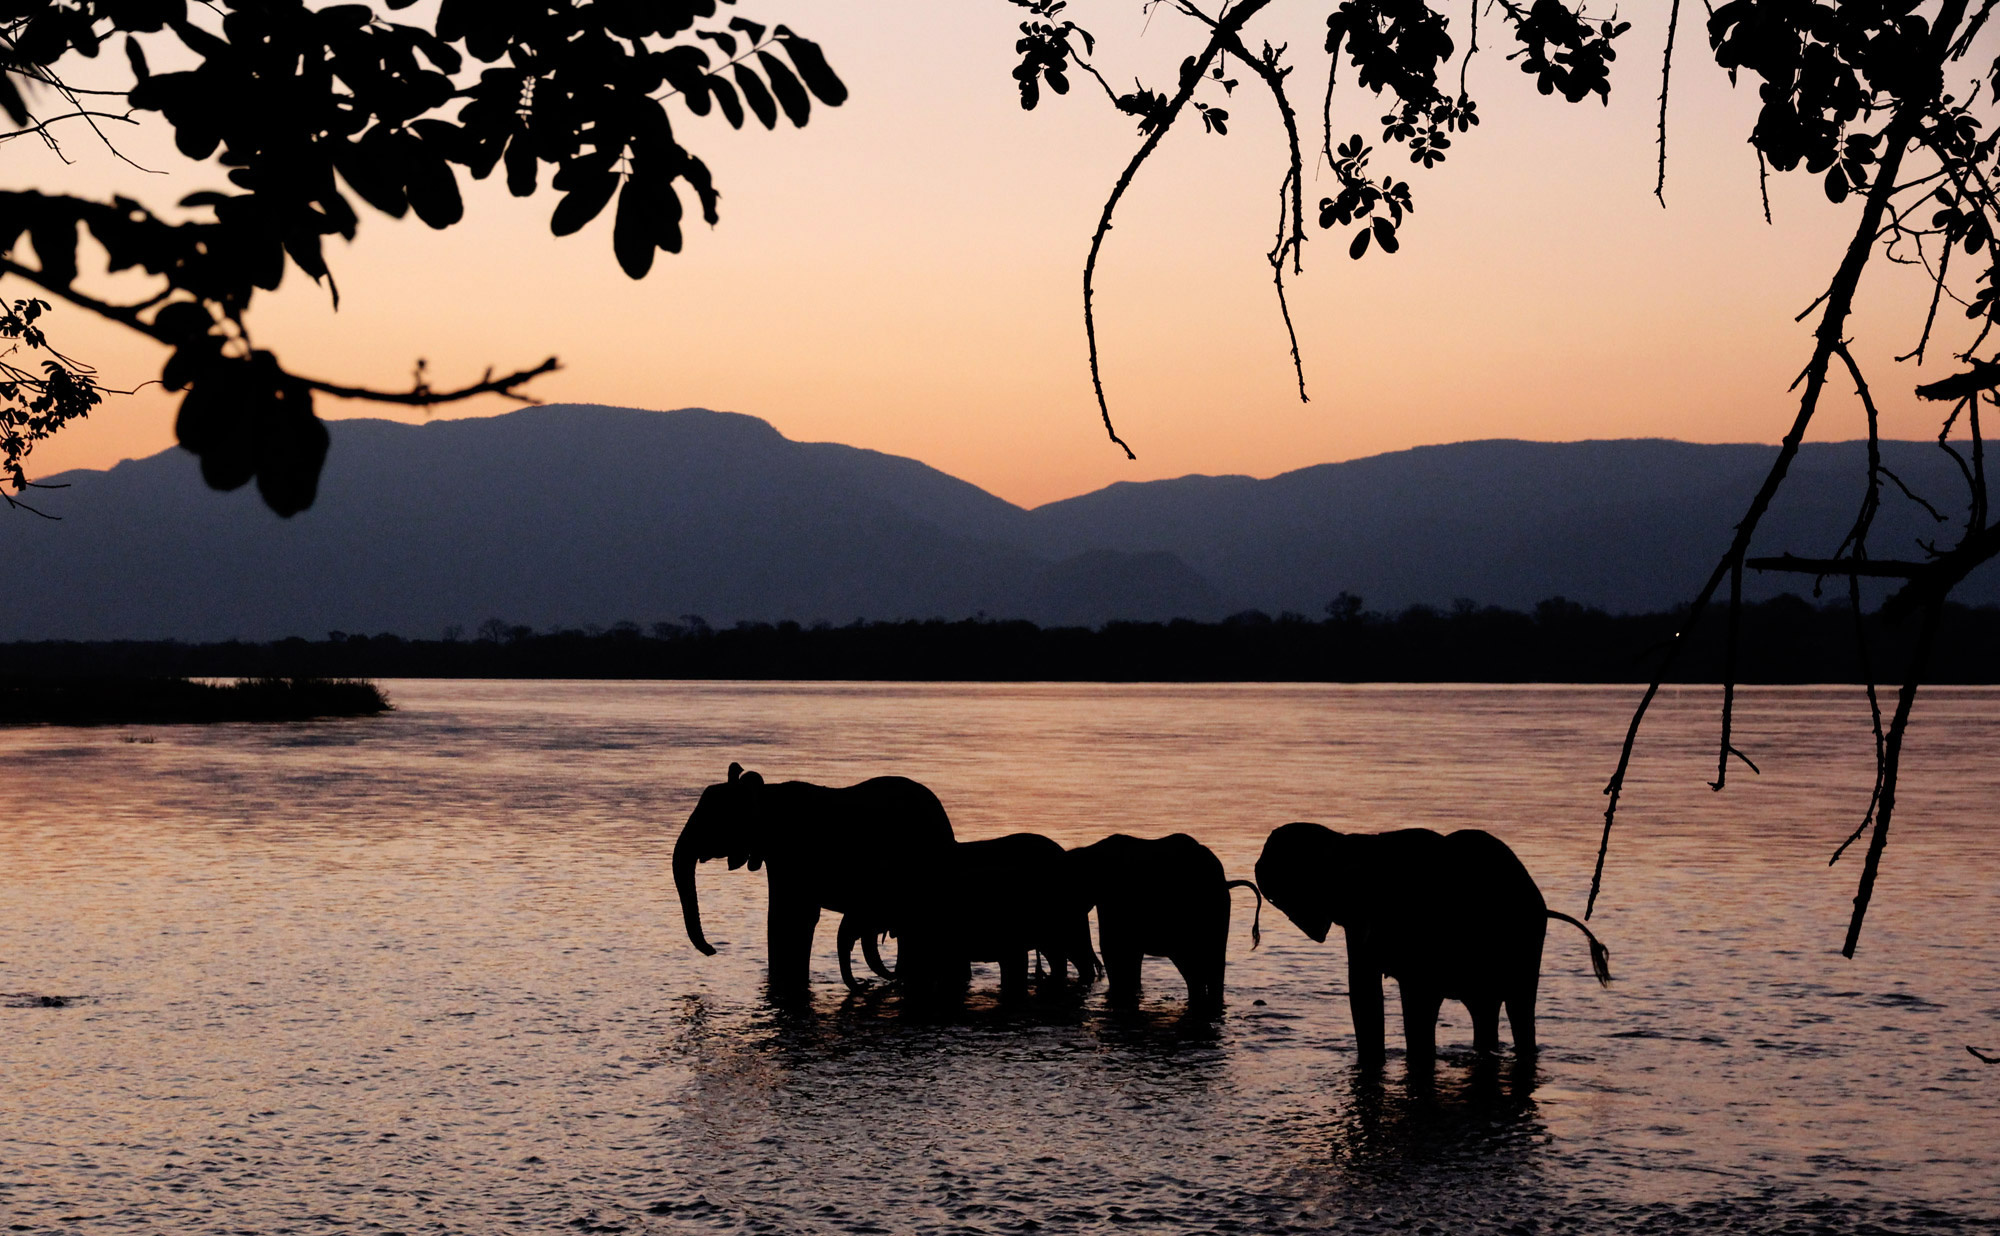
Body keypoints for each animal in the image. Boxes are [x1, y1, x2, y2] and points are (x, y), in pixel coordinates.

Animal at [1256, 820, 1616, 1072]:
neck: (1353, 843)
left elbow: (1415, 999)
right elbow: (1365, 996)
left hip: (1525, 938)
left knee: (1518, 1008)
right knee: (1485, 1010)